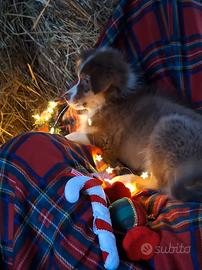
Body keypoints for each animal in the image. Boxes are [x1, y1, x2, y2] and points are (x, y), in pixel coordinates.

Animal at [66, 47, 202, 201]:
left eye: (86, 80)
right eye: (79, 78)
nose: (65, 96)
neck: (111, 99)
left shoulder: (105, 138)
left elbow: (79, 135)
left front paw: (64, 136)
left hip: (166, 127)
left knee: (159, 185)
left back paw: (123, 179)